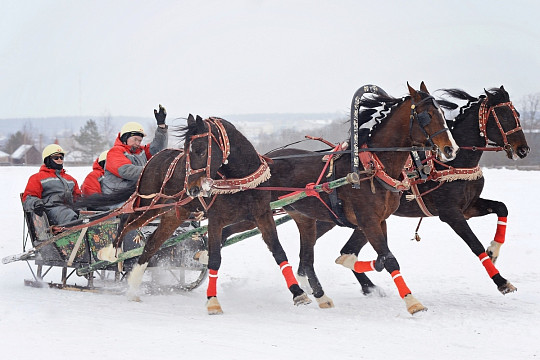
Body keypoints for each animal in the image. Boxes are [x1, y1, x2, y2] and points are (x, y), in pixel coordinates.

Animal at [96, 114, 308, 312]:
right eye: (187, 150)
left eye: (200, 149)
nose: (192, 189)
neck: (239, 181)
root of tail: (153, 159)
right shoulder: (216, 220)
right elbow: (215, 259)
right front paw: (212, 301)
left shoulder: (262, 215)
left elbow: (279, 252)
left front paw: (298, 293)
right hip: (148, 203)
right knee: (126, 219)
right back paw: (112, 252)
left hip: (173, 214)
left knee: (151, 244)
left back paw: (133, 288)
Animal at [221, 81, 458, 312]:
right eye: (426, 115)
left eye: (442, 112)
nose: (451, 149)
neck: (370, 167)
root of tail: (263, 159)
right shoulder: (368, 220)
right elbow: (389, 260)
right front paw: (412, 302)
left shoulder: (380, 220)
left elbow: (379, 259)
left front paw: (355, 266)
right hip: (257, 212)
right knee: (226, 232)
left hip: (302, 217)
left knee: (306, 258)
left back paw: (320, 295)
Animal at [340, 86, 528, 296]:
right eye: (503, 116)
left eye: (517, 113)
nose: (523, 149)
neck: (451, 164)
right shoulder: (450, 213)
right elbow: (475, 244)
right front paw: (501, 281)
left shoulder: (468, 207)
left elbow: (502, 207)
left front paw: (494, 250)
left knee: (347, 251)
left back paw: (368, 286)